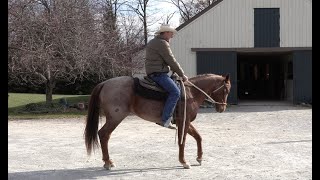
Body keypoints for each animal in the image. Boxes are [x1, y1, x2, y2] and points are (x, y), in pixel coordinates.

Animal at [84, 72, 230, 169]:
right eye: (226, 90)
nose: (222, 108)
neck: (191, 93)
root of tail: (104, 83)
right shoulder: (184, 121)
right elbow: (182, 142)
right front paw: (184, 162)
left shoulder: (185, 122)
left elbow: (198, 137)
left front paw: (199, 158)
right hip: (115, 118)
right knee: (104, 134)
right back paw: (108, 162)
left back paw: (107, 162)